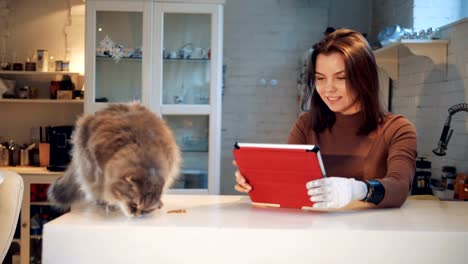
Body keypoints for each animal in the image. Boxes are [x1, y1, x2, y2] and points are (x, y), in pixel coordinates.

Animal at [48, 102, 181, 217]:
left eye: (145, 211)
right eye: (134, 204)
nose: (136, 214)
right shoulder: (99, 170)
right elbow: (102, 189)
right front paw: (108, 204)